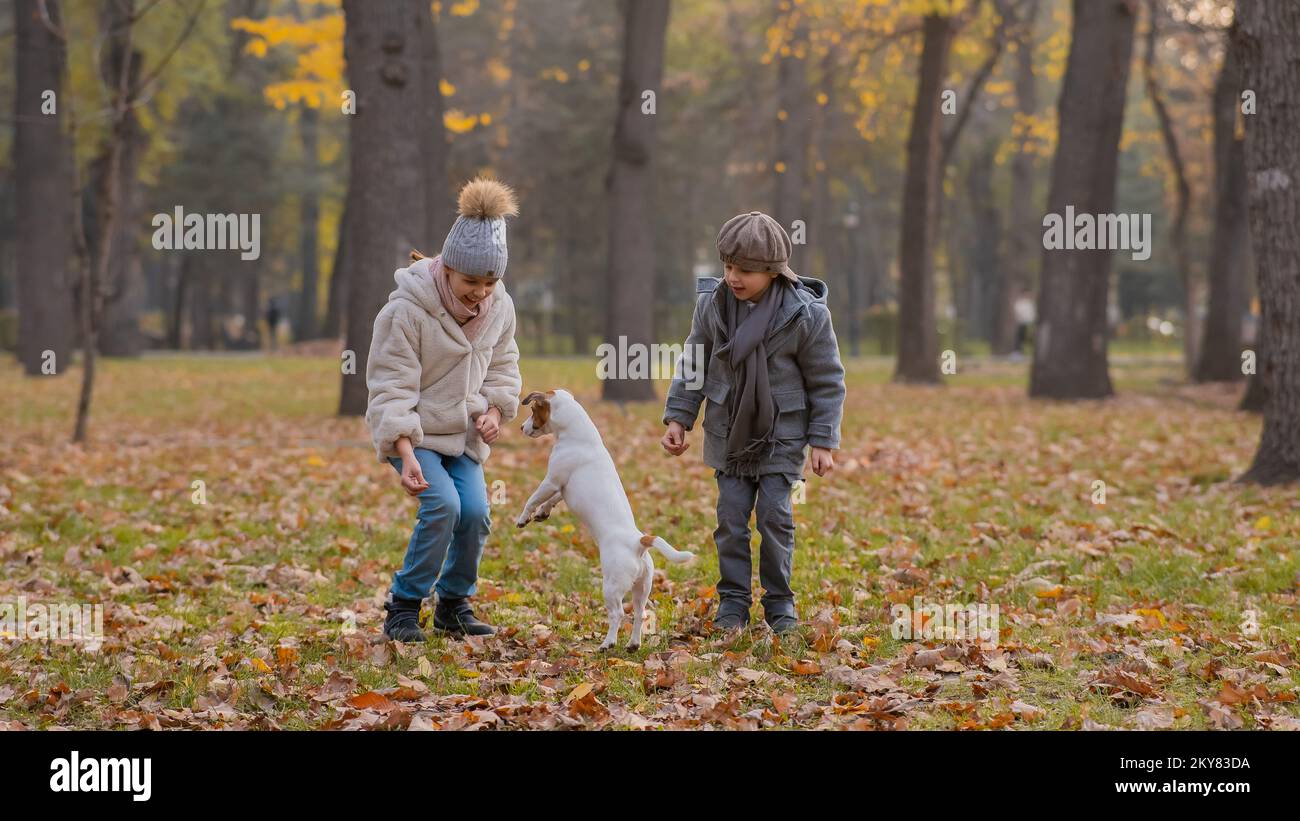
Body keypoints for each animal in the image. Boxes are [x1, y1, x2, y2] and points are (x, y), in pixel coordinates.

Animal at [514, 387, 696, 652]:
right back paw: (633, 644)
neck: (578, 435)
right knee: (639, 613)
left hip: (611, 586)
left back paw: (608, 643)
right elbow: (552, 501)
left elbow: (533, 499)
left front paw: (524, 517)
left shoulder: (551, 481)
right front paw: (542, 513)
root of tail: (639, 542)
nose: (521, 428)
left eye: (532, 410)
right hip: (643, 587)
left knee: (618, 613)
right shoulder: (562, 489)